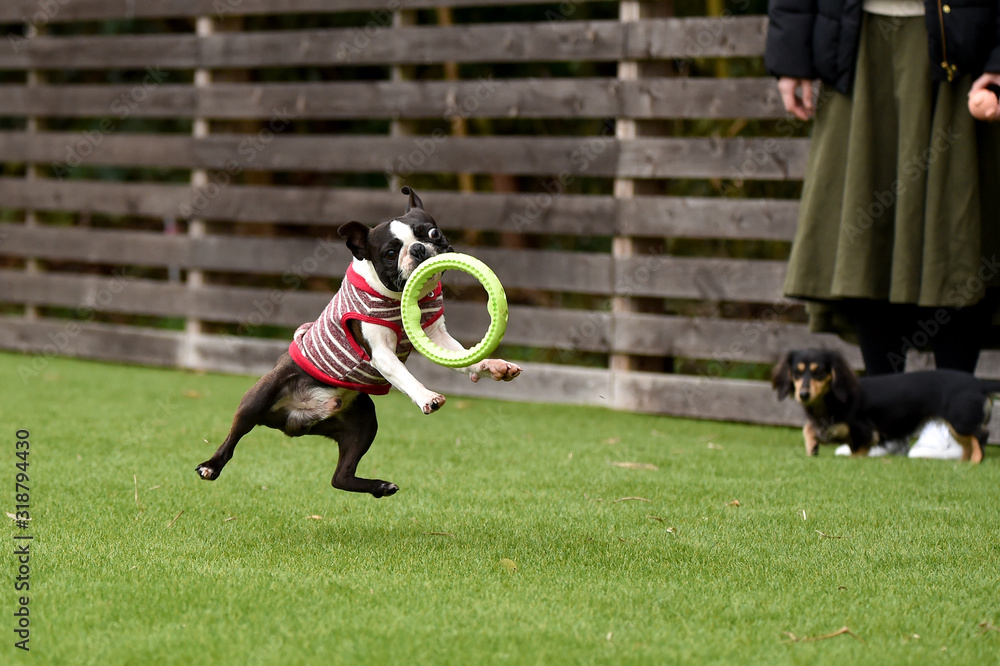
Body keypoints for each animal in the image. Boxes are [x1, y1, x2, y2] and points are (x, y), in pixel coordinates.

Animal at [196, 187, 522, 497]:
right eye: (390, 254)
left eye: (432, 233)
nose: (418, 248)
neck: (398, 300)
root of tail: (296, 417)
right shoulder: (381, 353)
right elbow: (404, 375)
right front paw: (426, 396)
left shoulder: (437, 335)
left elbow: (465, 358)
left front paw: (494, 366)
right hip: (261, 394)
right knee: (236, 434)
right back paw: (211, 466)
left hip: (363, 421)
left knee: (340, 477)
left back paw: (381, 487)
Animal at [772, 348, 998, 462]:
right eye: (796, 372)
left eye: (819, 371)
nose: (803, 394)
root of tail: (979, 383)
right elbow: (808, 428)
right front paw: (812, 446)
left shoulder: (864, 431)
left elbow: (857, 451)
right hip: (957, 426)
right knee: (969, 443)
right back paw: (964, 461)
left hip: (961, 421)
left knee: (981, 436)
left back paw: (976, 460)